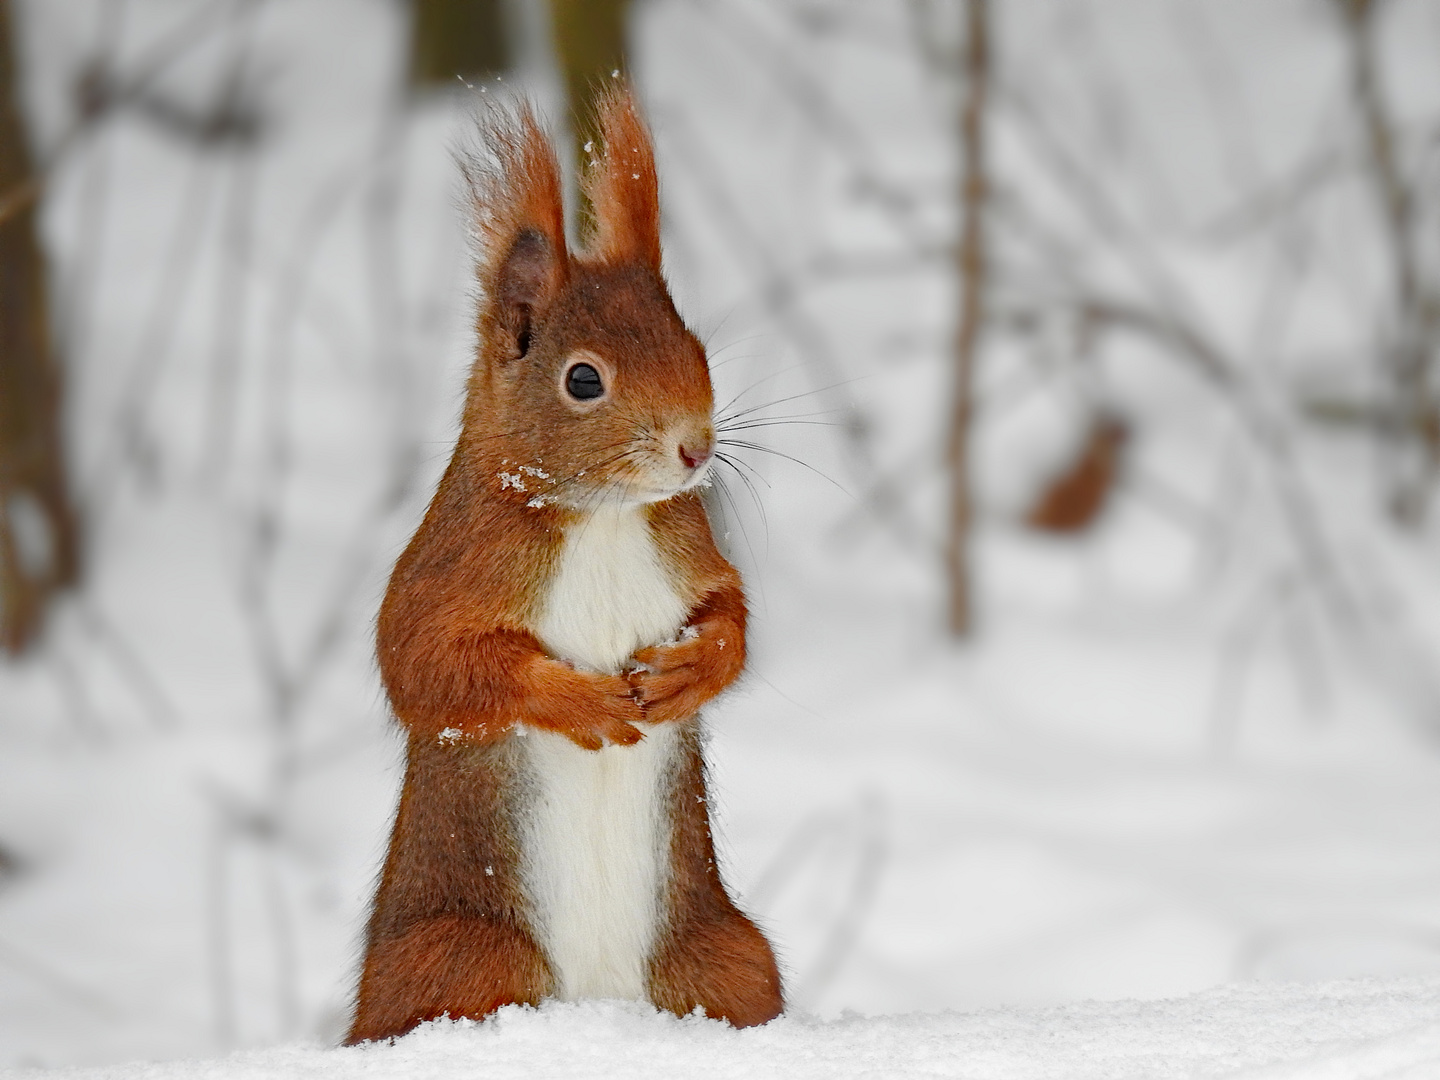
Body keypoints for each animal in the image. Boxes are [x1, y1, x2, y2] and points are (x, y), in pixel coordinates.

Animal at [342, 88, 783, 1042]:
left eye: (695, 345)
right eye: (584, 381)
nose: (696, 449)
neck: (604, 518)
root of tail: (600, 998)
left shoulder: (688, 550)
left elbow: (731, 615)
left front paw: (689, 671)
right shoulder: (451, 566)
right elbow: (424, 663)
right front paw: (580, 701)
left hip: (724, 957)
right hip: (469, 953)